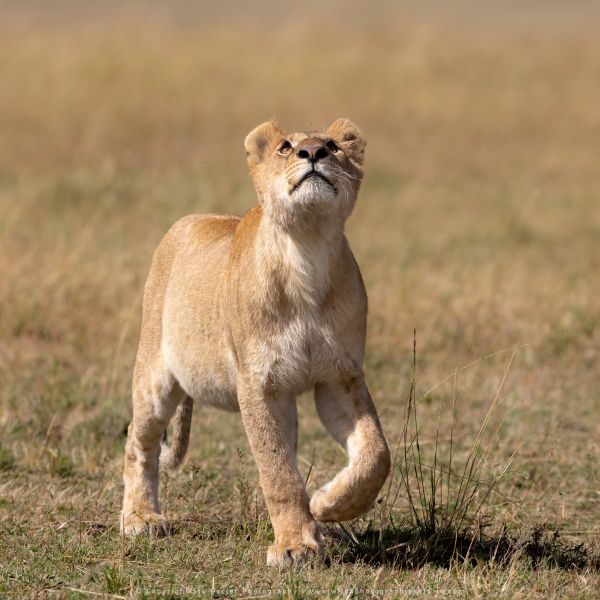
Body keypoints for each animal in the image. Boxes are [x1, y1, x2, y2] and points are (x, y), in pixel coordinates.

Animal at [122, 118, 394, 568]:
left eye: (333, 144)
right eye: (286, 147)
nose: (313, 153)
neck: (307, 254)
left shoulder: (339, 379)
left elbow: (375, 453)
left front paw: (328, 505)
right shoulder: (259, 386)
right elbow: (277, 470)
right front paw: (295, 546)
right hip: (155, 377)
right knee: (138, 444)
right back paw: (140, 518)